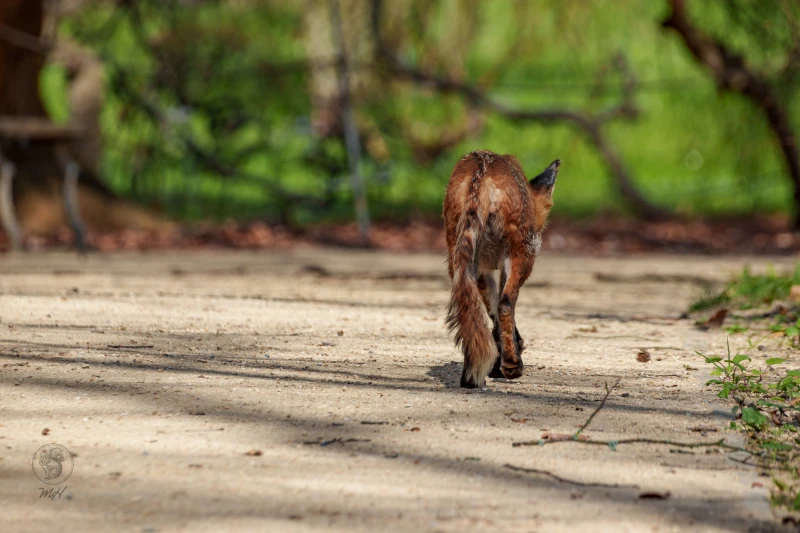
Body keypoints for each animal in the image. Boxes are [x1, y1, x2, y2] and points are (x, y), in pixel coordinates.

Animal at [443, 150, 560, 389]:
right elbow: (502, 307)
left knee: (470, 309)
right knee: (506, 304)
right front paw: (510, 357)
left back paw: (470, 374)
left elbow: (491, 314)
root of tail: (482, 170)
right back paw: (512, 366)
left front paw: (497, 362)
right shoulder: (511, 260)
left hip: (460, 260)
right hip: (522, 256)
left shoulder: (482, 271)